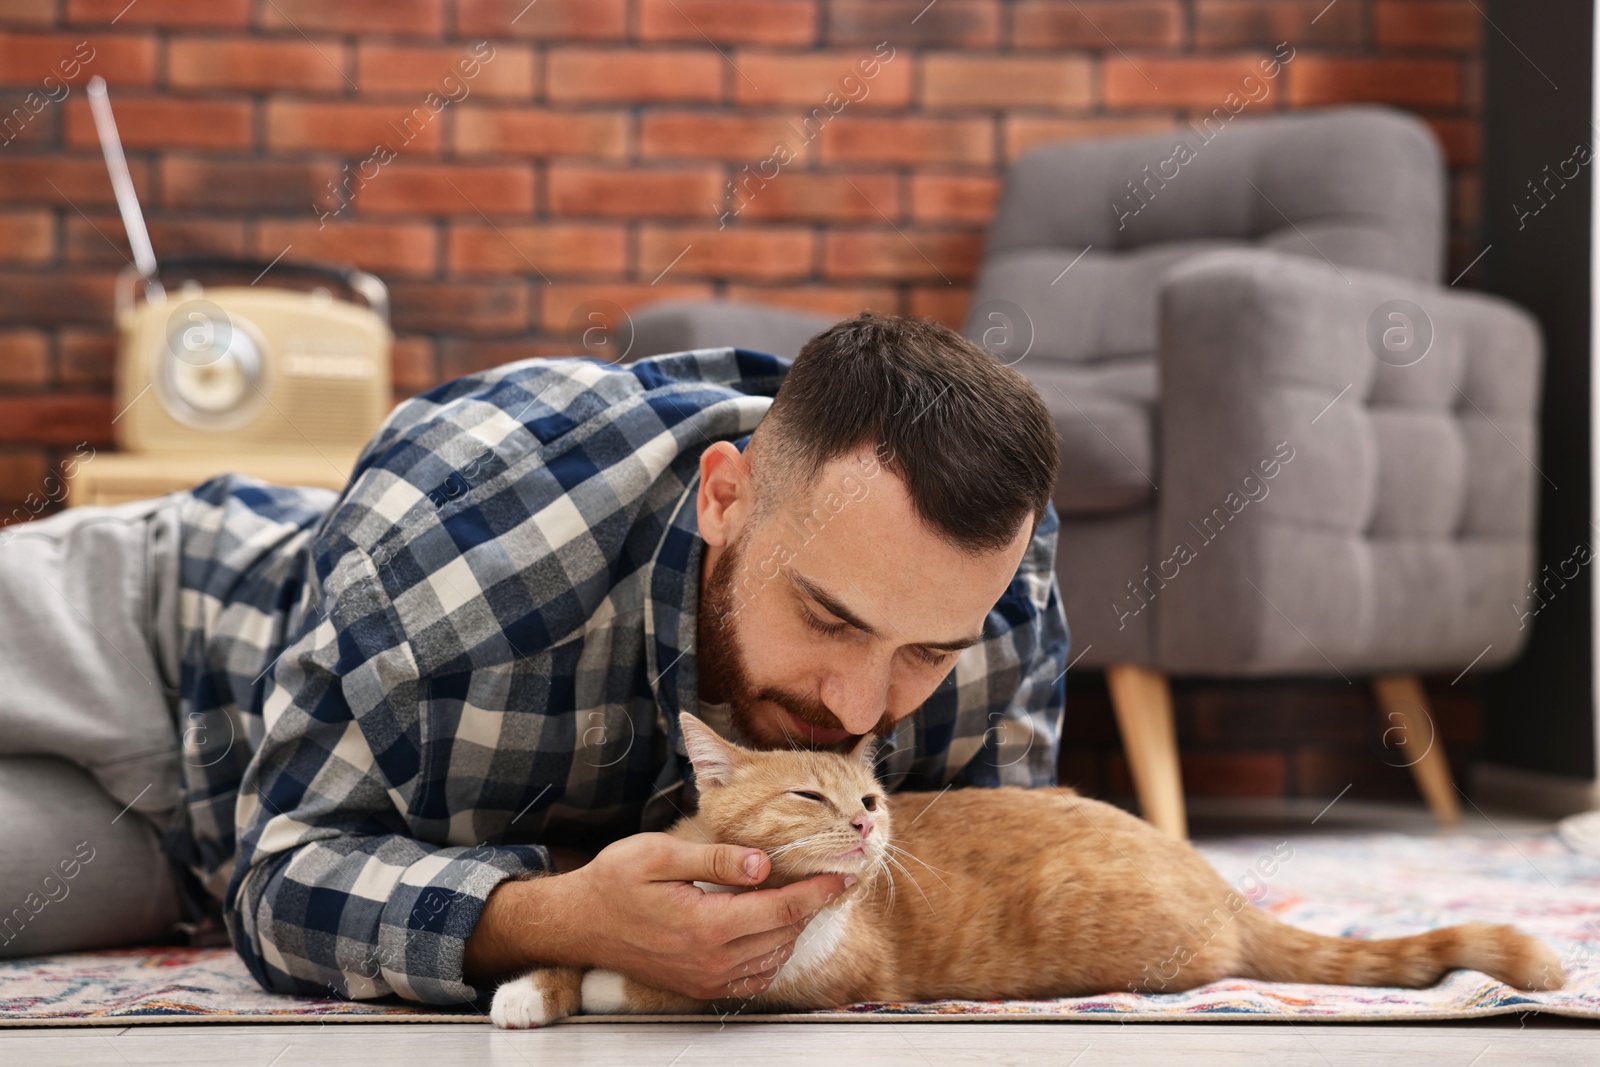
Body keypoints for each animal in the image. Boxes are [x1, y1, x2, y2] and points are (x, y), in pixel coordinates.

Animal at [486, 713, 1561, 1030]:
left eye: (867, 798)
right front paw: (535, 986)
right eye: (808, 799)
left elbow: (662, 979)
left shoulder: (822, 976)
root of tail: (1212, 877)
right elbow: (577, 938)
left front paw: (605, 984)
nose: (866, 827)